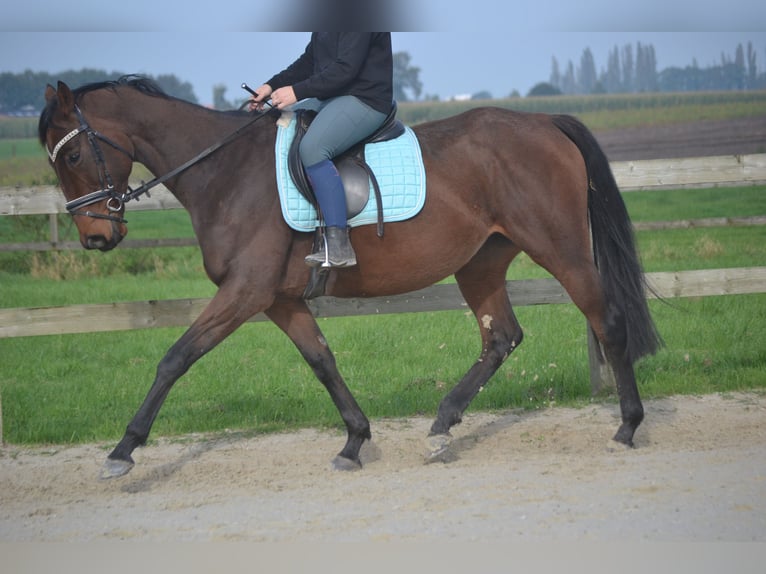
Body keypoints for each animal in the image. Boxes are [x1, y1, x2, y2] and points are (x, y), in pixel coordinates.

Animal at [39, 76, 660, 482]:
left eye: (70, 158)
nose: (96, 238)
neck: (225, 173)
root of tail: (544, 122)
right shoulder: (279, 299)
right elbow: (321, 360)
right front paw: (355, 440)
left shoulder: (244, 293)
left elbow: (175, 358)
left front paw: (123, 451)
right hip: (481, 262)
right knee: (500, 338)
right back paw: (441, 427)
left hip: (561, 248)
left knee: (606, 319)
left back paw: (627, 427)